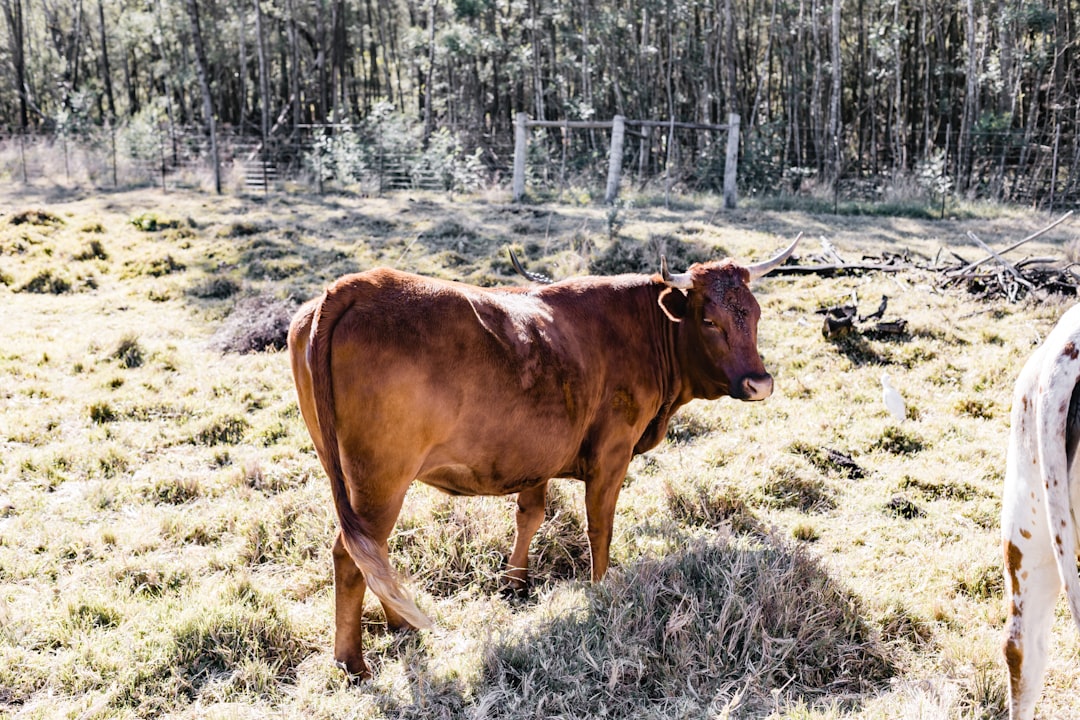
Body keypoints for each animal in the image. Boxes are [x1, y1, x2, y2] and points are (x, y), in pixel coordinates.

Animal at [291, 235, 799, 677]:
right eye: (710, 321)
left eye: (755, 314)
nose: (760, 383)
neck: (642, 329)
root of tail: (354, 286)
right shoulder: (611, 456)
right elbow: (600, 527)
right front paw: (601, 589)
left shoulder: (535, 456)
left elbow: (530, 515)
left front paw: (515, 582)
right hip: (380, 481)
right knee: (350, 555)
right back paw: (353, 663)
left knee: (370, 553)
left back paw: (399, 622)